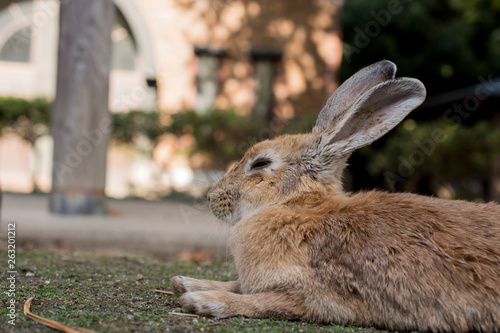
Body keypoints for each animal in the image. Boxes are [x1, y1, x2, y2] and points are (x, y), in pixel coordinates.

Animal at [172, 61, 500, 330]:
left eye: (261, 163)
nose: (212, 197)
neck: (298, 207)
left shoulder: (316, 296)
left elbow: (259, 302)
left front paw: (203, 300)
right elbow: (236, 284)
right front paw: (185, 282)